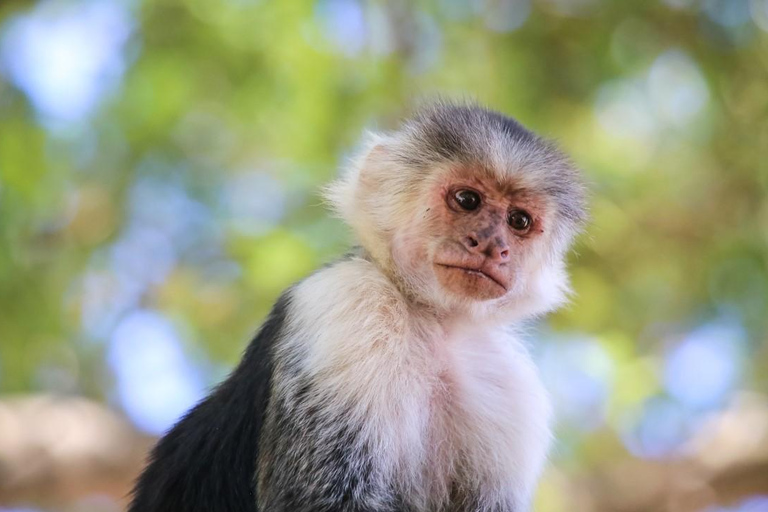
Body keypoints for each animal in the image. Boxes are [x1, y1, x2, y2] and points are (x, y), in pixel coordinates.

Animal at [127, 101, 584, 512]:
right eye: (468, 199)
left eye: (519, 221)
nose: (492, 245)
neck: (434, 322)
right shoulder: (347, 303)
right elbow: (321, 500)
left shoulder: (510, 384)